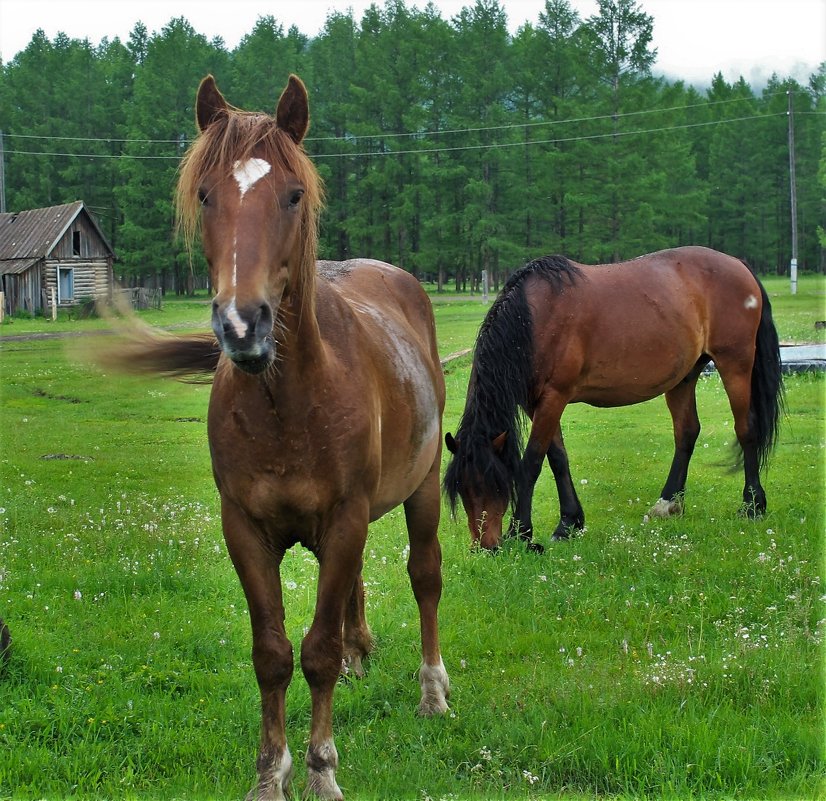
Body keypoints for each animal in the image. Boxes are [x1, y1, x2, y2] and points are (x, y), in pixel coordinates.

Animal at [120, 76, 448, 800]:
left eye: (293, 195)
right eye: (206, 193)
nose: (243, 325)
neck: (288, 404)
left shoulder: (347, 515)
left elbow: (316, 651)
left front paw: (323, 769)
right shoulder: (244, 525)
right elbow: (272, 653)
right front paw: (271, 772)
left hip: (425, 488)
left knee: (425, 576)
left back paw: (433, 691)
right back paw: (362, 654)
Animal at [440, 248, 784, 552]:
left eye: (496, 485)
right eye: (462, 491)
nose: (485, 547)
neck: (533, 320)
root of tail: (739, 265)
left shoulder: (554, 397)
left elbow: (533, 462)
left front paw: (521, 532)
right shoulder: (537, 402)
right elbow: (558, 459)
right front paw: (569, 523)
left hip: (735, 363)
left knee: (746, 429)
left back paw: (752, 505)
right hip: (684, 377)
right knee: (687, 432)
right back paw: (668, 503)